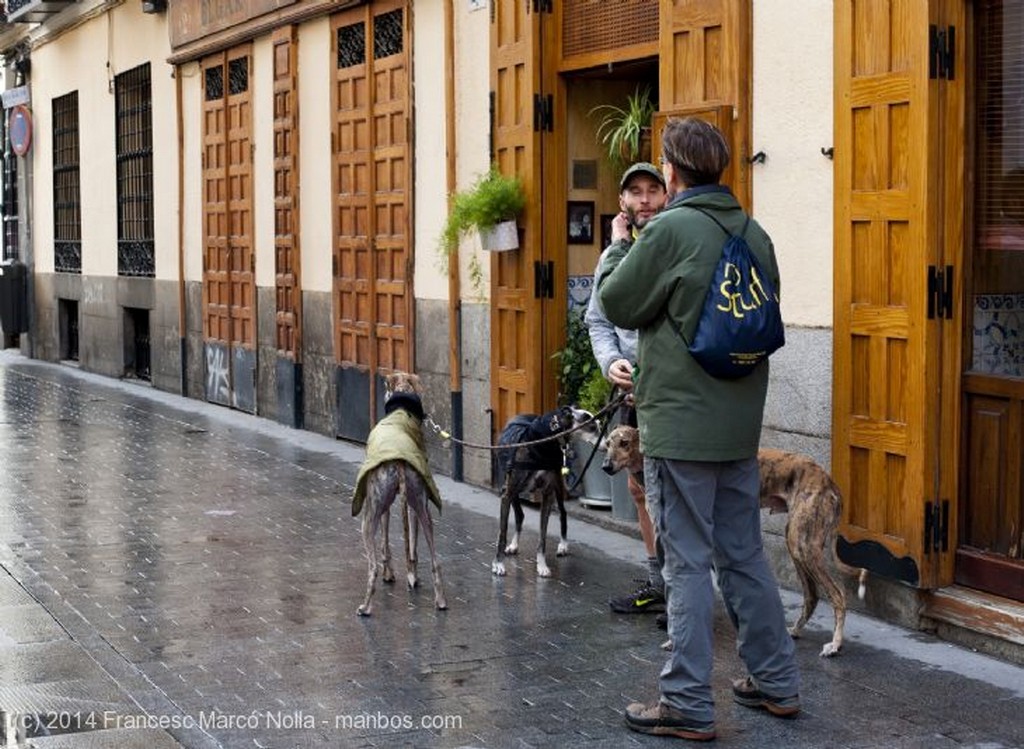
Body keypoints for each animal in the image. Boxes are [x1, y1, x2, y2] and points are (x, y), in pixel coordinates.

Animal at [491, 407, 581, 577]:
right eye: (569, 415)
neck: (538, 449)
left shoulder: (547, 496)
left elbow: (542, 538)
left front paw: (542, 565)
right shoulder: (506, 494)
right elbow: (502, 532)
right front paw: (498, 564)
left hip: (558, 486)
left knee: (563, 512)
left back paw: (563, 545)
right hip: (512, 491)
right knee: (520, 515)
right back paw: (514, 545)